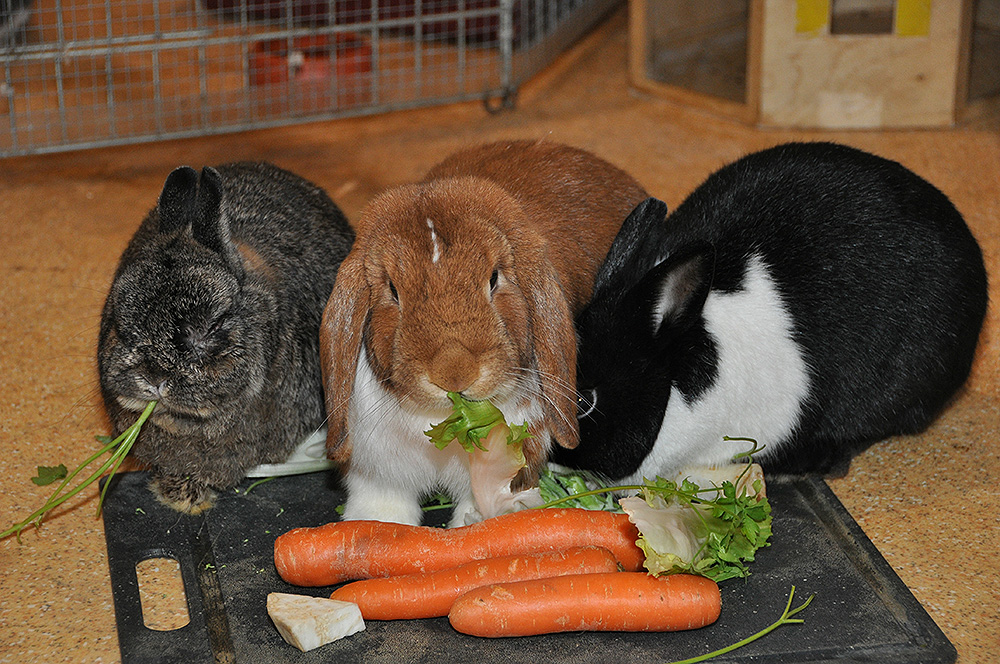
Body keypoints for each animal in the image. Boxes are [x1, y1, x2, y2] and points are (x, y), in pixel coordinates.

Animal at [320, 139, 648, 524]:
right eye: (393, 291)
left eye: (493, 279)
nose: (454, 373)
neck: (438, 421)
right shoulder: (378, 465)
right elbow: (382, 498)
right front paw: (376, 524)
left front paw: (475, 521)